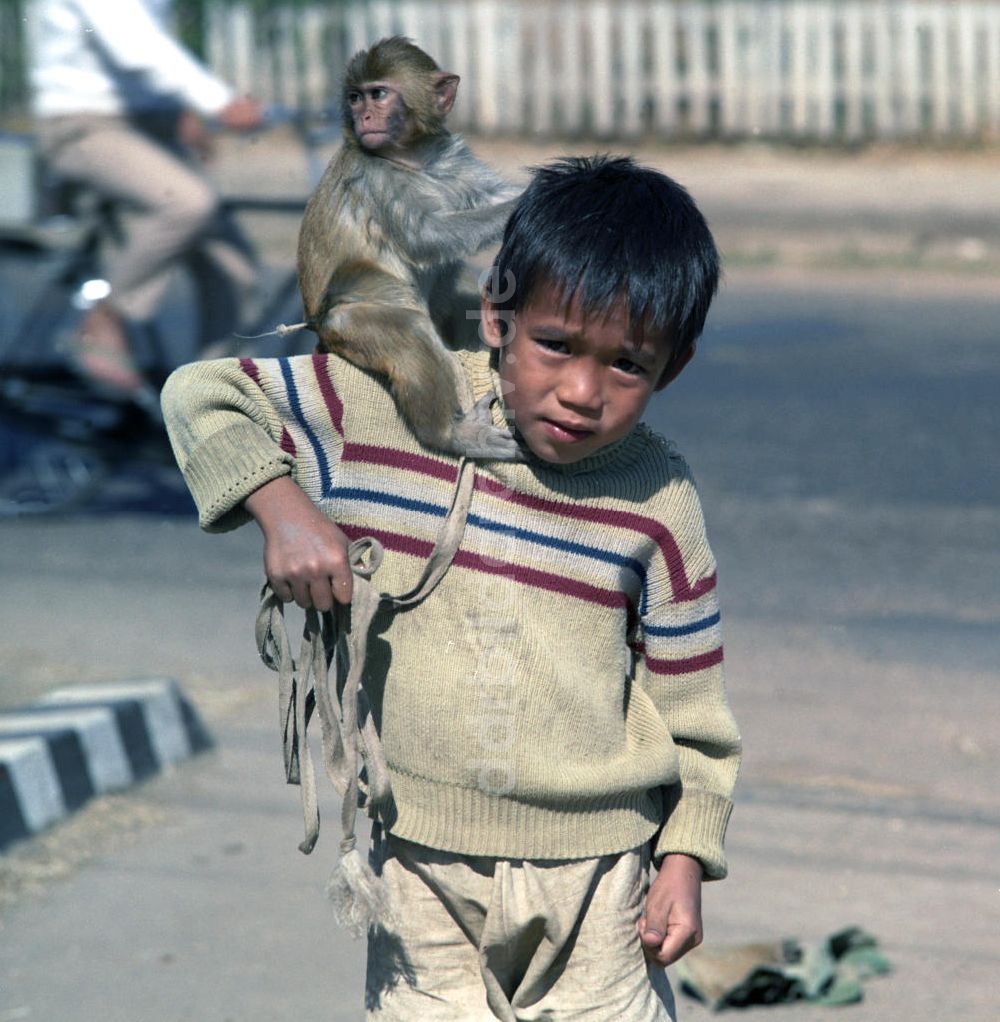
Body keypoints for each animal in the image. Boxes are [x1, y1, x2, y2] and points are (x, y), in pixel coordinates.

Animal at [298, 36, 521, 459]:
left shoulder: (450, 158)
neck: (411, 157)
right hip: (347, 327)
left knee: (455, 282)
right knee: (412, 329)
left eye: (378, 94)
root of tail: (320, 333)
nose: (365, 117)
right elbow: (426, 236)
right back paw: (453, 435)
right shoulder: (374, 177)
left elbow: (486, 196)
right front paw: (527, 199)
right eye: (355, 98)